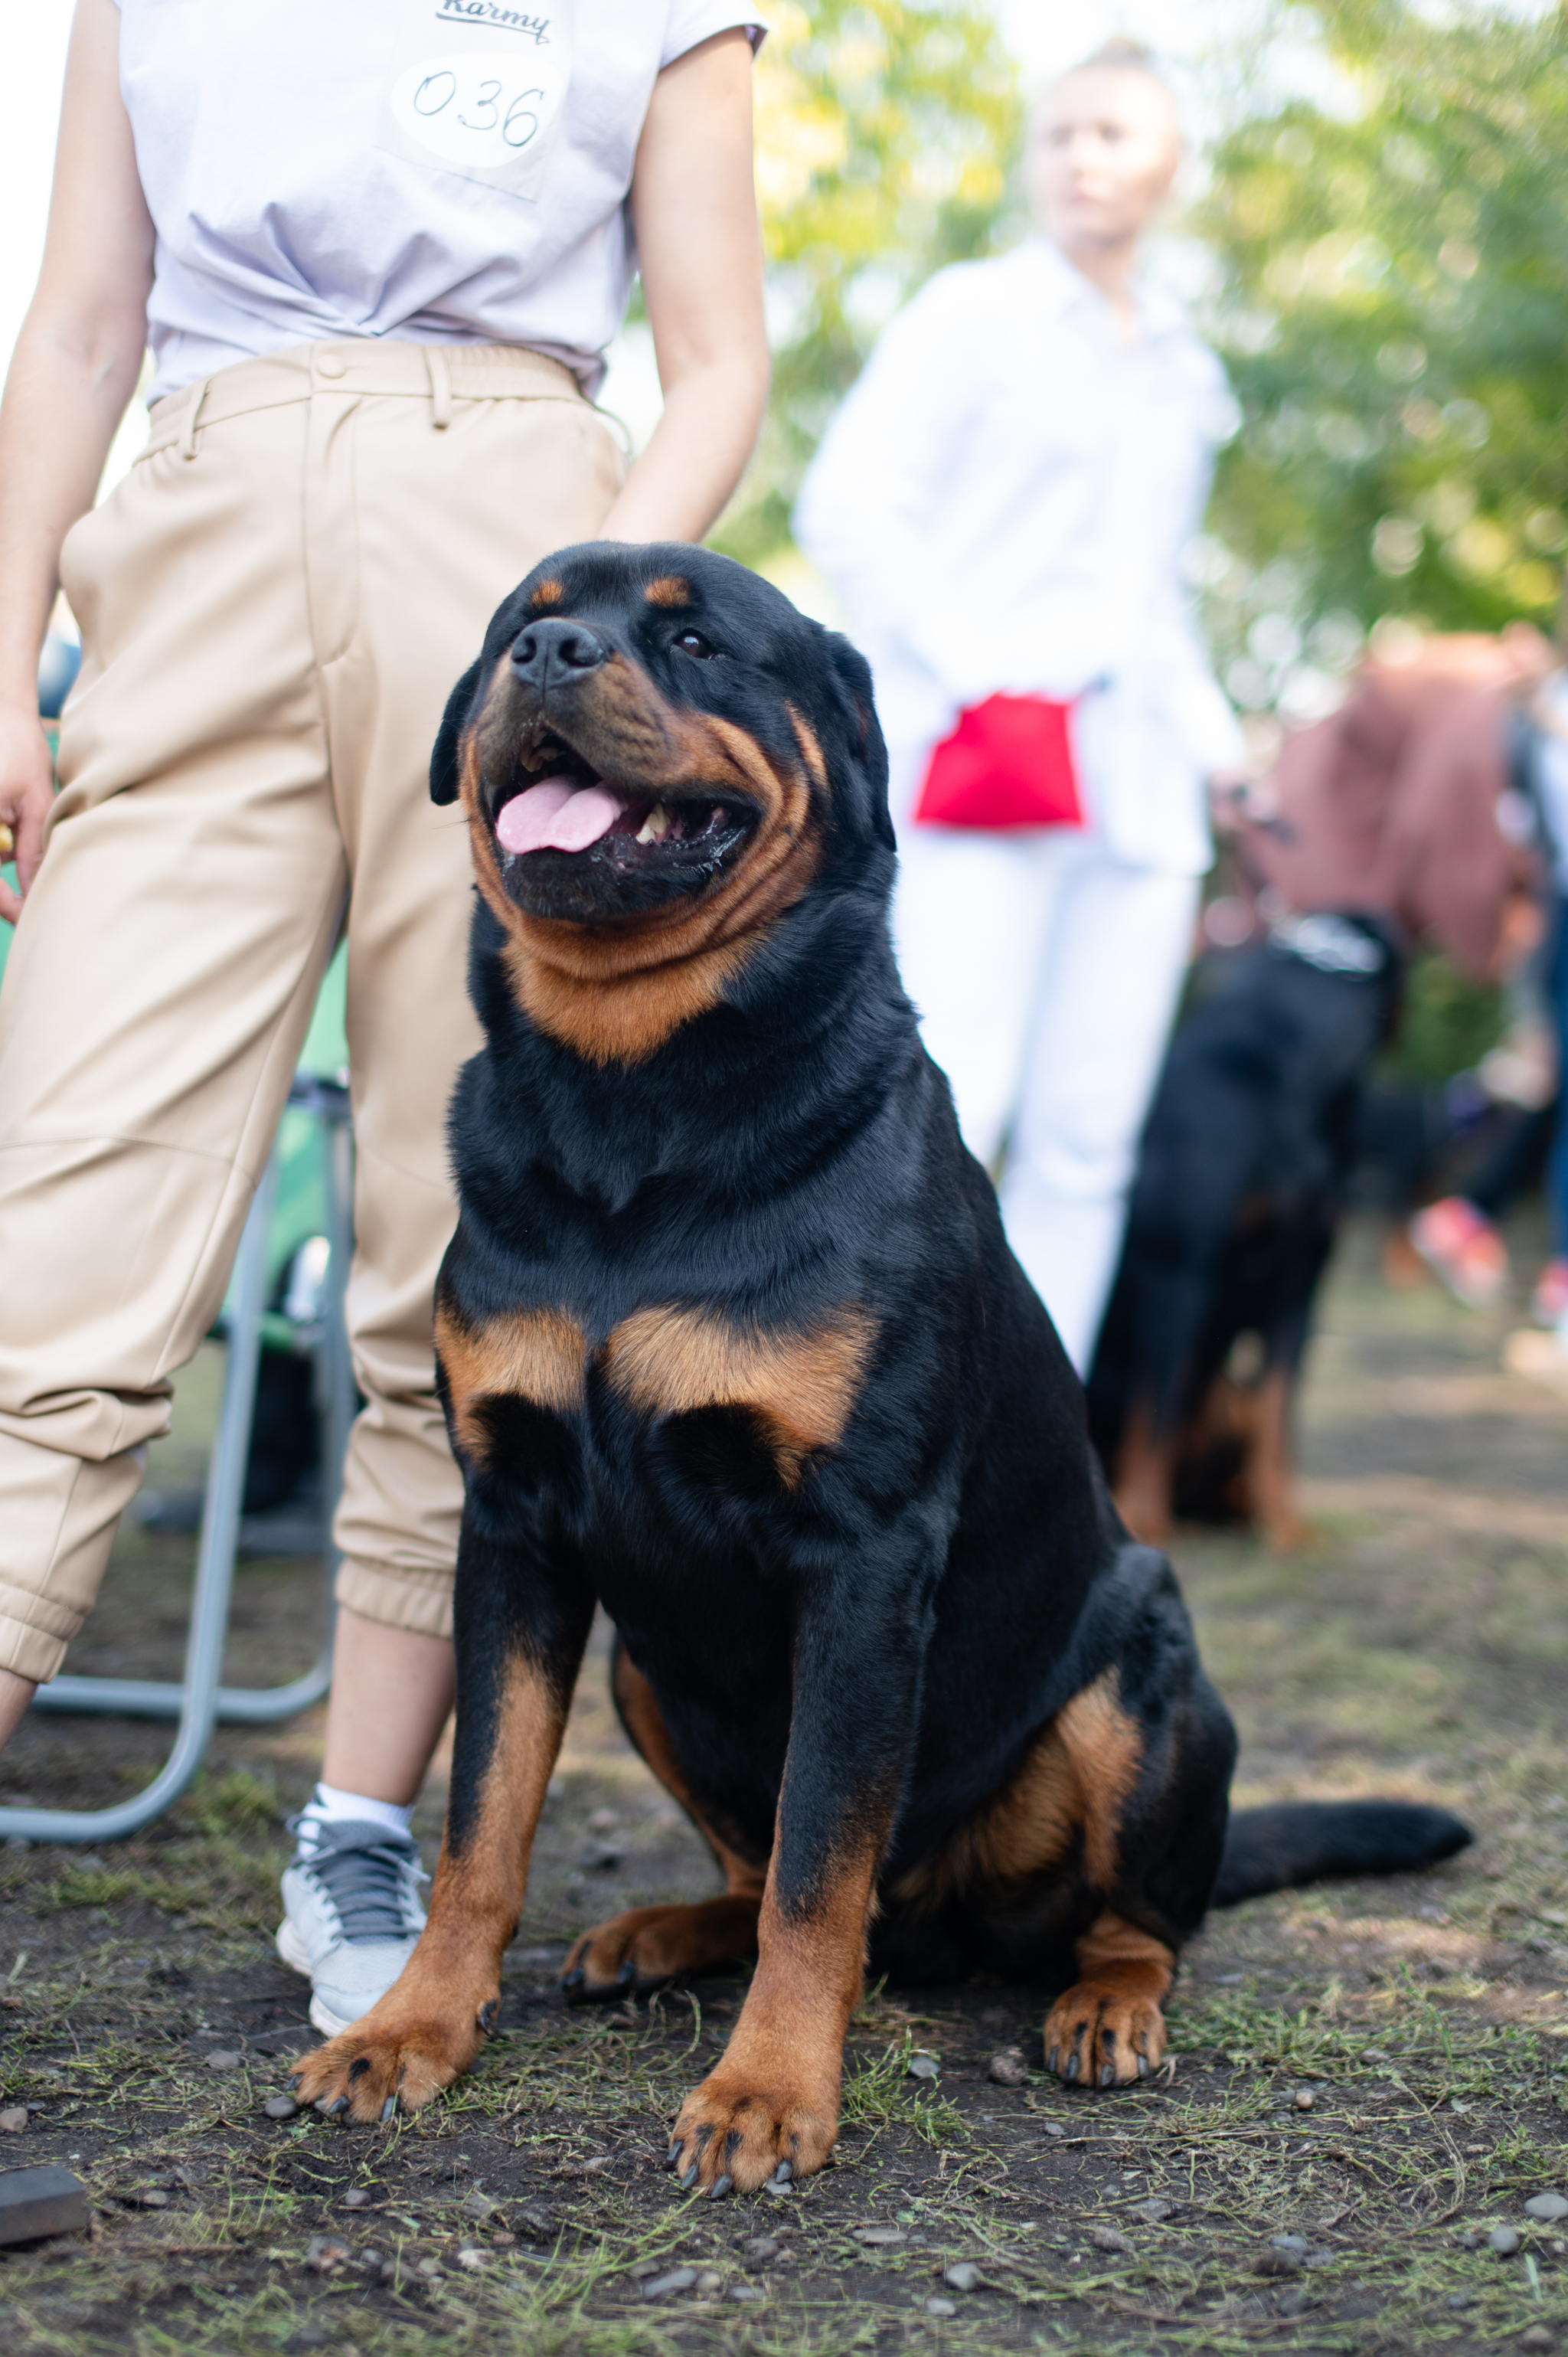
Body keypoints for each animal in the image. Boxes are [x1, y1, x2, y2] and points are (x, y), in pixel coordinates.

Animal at [1088, 913, 1403, 1552]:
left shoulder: (1299, 1285)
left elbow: (1278, 1412)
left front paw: (1284, 1522)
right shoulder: (1180, 1272)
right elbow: (1156, 1413)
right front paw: (1146, 1518)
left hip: (1224, 1394)